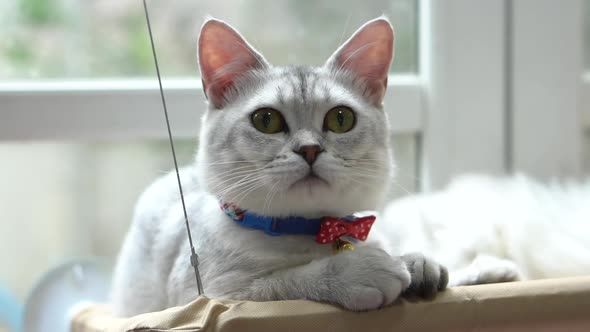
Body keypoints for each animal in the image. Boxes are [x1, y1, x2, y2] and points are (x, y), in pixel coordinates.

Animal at [111, 16, 448, 318]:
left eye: (341, 118)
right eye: (266, 120)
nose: (309, 149)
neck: (311, 233)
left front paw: (416, 263)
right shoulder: (211, 298)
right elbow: (281, 282)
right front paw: (364, 269)